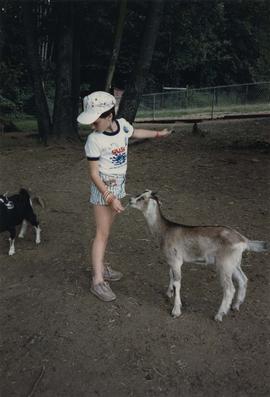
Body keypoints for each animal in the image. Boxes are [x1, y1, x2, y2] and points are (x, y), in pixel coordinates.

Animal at [130, 190, 268, 320]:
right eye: (139, 194)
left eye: (142, 198)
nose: (130, 200)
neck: (165, 230)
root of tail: (243, 240)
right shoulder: (171, 260)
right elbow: (171, 275)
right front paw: (169, 293)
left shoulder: (176, 261)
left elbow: (177, 283)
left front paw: (176, 311)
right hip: (234, 263)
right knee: (243, 279)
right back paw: (236, 305)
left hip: (224, 264)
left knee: (229, 288)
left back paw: (219, 315)